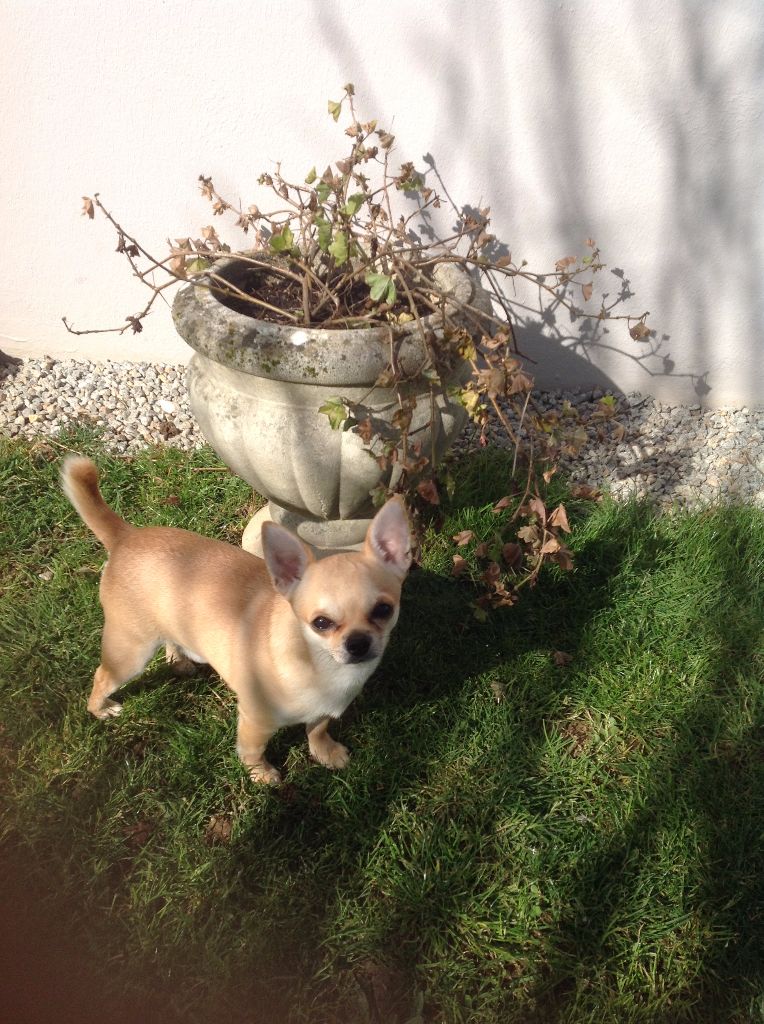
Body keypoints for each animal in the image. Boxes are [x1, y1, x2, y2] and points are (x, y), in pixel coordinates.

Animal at [61, 456, 411, 784]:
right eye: (321, 623)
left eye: (384, 610)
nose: (358, 643)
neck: (319, 664)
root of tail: (126, 537)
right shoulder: (255, 721)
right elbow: (253, 750)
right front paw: (260, 774)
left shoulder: (323, 710)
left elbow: (317, 728)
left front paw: (324, 751)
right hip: (129, 652)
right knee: (102, 676)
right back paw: (101, 708)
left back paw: (178, 659)